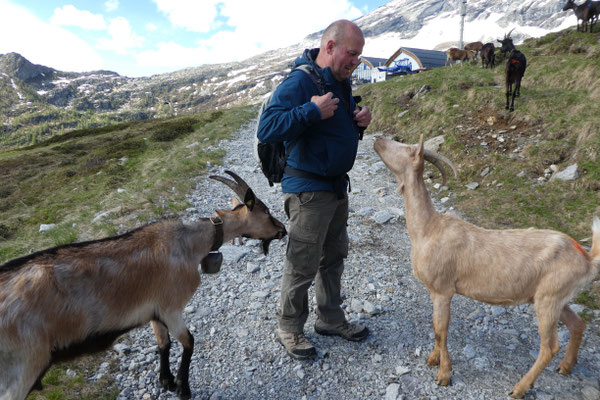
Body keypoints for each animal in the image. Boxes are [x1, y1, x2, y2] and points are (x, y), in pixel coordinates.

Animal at [0, 171, 288, 400]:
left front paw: (166, 382)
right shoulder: (172, 307)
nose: (283, 230)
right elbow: (189, 342)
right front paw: (183, 388)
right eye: (266, 212)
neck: (189, 245)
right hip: (21, 369)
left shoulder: (153, 311)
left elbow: (164, 344)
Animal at [372, 136, 596, 398]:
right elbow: (436, 327)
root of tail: (587, 258)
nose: (377, 139)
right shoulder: (436, 292)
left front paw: (444, 375)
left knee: (549, 346)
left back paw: (519, 388)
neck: (428, 228)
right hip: (556, 296)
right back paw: (565, 367)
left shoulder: (443, 289)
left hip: (549, 298)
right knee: (577, 323)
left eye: (406, 148)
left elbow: (441, 329)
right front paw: (433, 359)